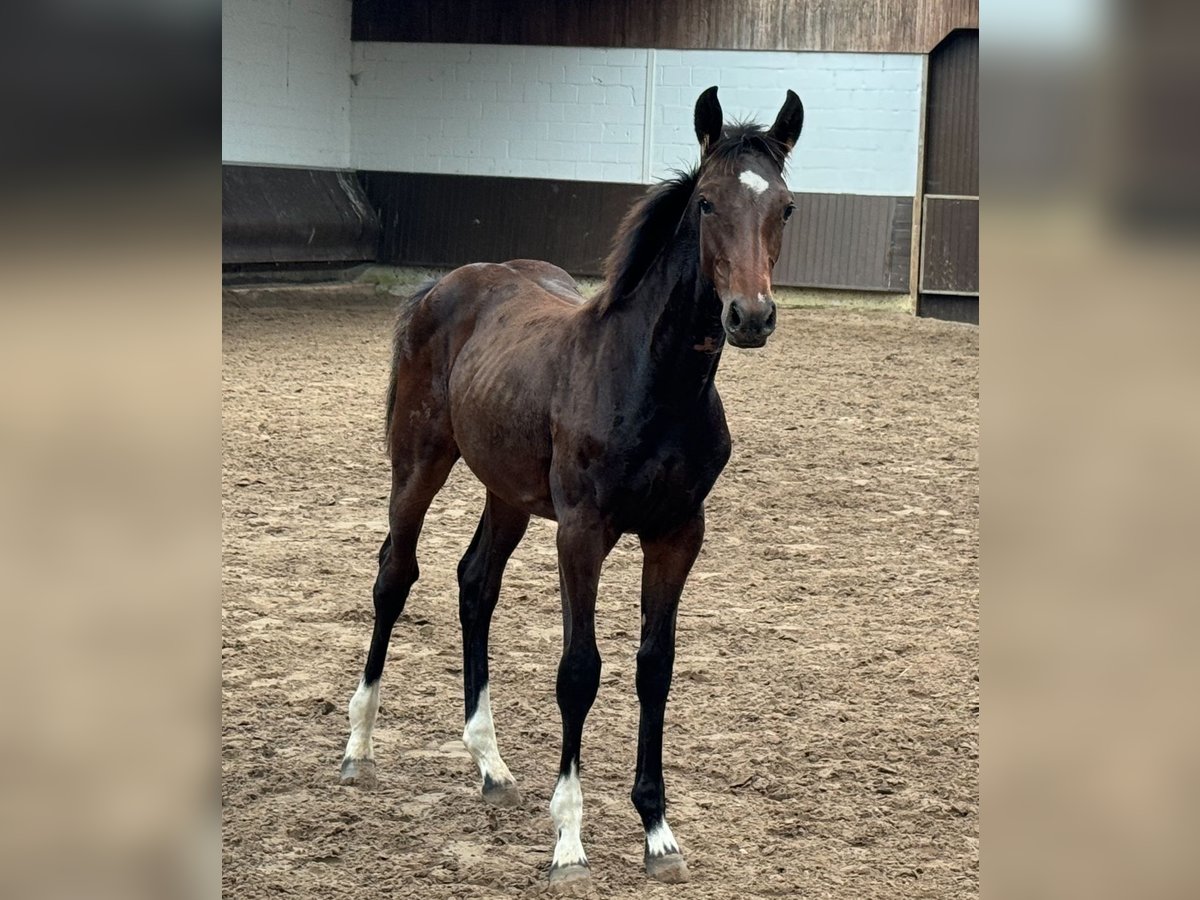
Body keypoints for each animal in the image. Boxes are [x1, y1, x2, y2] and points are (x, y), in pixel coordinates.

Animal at [340, 88, 806, 892]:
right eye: (707, 203)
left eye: (784, 206)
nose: (750, 316)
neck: (653, 383)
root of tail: (445, 283)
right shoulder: (582, 532)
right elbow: (579, 671)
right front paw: (569, 843)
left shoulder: (679, 532)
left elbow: (656, 667)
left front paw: (657, 831)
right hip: (419, 462)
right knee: (394, 574)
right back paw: (358, 747)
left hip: (507, 491)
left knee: (476, 582)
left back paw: (490, 765)